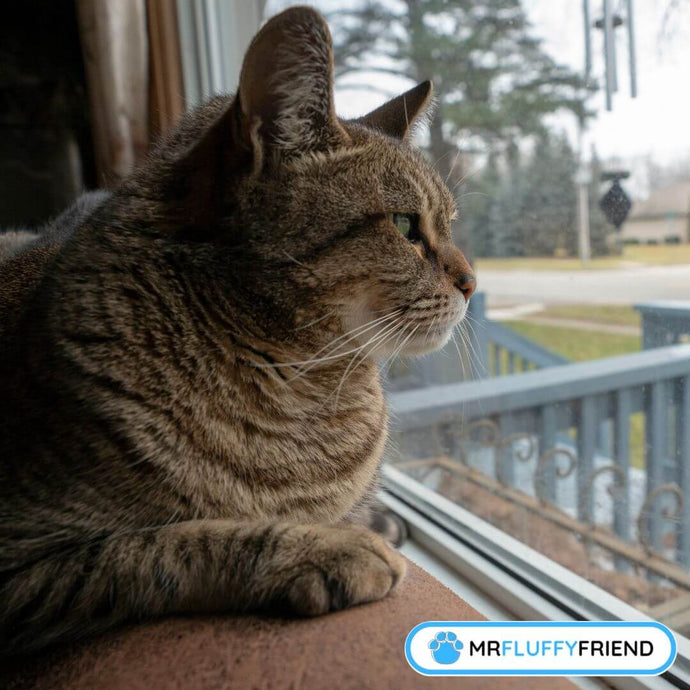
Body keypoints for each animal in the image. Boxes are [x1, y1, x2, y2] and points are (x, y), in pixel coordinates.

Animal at [0, 6, 472, 656]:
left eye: (450, 224)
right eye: (405, 226)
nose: (473, 282)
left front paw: (367, 522)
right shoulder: (21, 561)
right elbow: (161, 545)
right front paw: (324, 548)